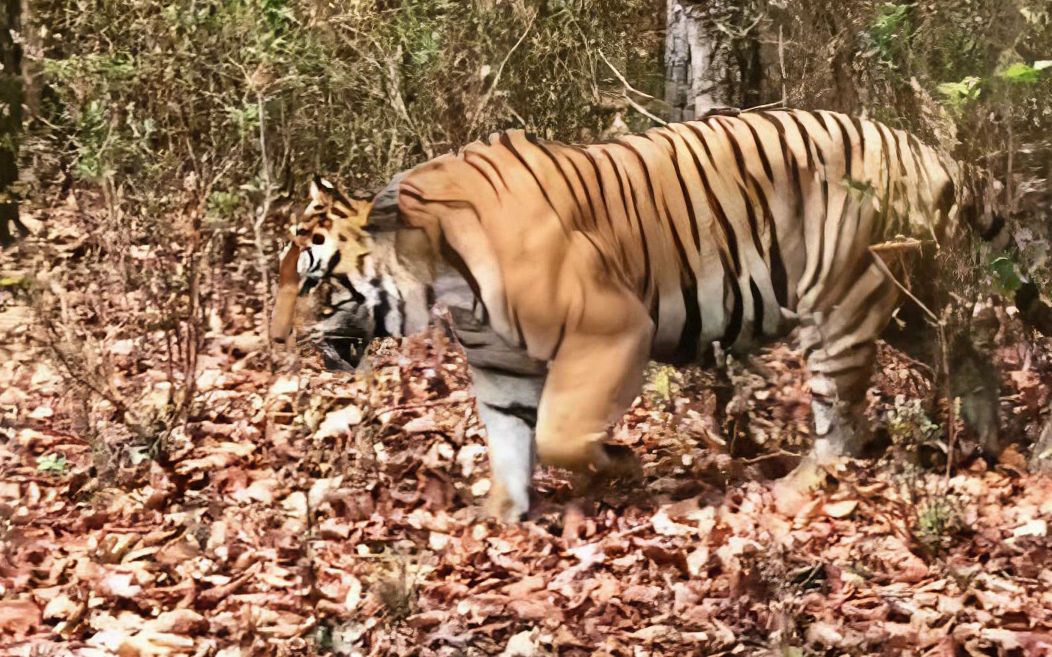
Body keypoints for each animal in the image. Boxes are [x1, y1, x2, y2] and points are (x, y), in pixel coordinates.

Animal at [269, 107, 1001, 519]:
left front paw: (621, 465)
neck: (440, 275)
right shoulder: (500, 364)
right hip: (909, 303)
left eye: (311, 280)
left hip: (842, 305)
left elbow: (560, 433)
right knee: (970, 355)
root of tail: (932, 152)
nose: (273, 338)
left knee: (842, 423)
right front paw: (499, 512)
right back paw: (998, 437)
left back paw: (796, 487)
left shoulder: (611, 327)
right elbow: (508, 439)